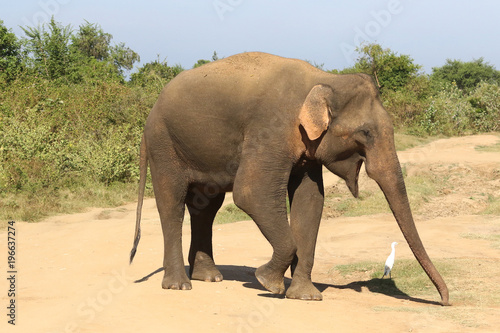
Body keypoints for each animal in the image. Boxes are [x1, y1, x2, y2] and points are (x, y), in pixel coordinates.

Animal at [129, 51, 450, 304]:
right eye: (366, 133)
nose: (445, 300)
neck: (324, 79)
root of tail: (148, 115)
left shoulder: (307, 147)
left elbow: (310, 201)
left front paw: (305, 296)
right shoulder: (270, 129)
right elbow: (251, 194)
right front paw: (266, 282)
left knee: (206, 208)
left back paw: (209, 277)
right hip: (164, 143)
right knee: (172, 202)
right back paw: (179, 285)